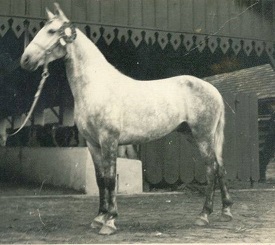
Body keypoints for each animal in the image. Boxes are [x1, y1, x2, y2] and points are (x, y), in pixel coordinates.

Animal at [20, 2, 234, 235]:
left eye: (51, 31)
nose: (25, 60)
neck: (96, 85)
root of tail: (213, 90)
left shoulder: (109, 140)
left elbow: (111, 179)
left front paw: (110, 221)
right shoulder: (93, 144)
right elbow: (100, 180)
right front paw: (99, 217)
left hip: (202, 136)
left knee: (211, 168)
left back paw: (204, 215)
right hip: (194, 135)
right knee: (220, 167)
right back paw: (226, 211)